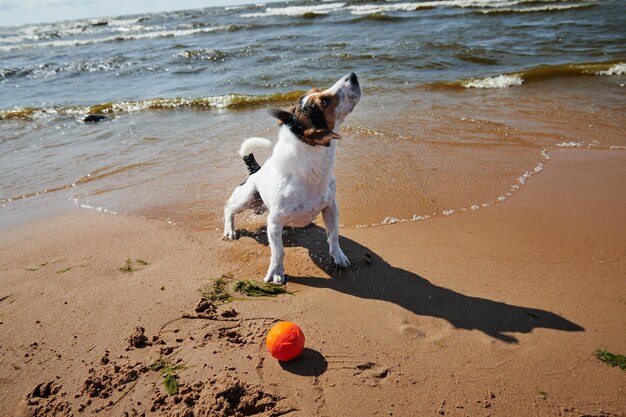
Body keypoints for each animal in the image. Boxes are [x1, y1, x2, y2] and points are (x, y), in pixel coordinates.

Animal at [223, 73, 360, 284]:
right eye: (324, 101)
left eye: (317, 90)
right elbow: (278, 251)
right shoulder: (274, 222)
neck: (313, 170)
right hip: (245, 198)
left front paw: (338, 256)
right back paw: (230, 230)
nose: (352, 75)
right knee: (228, 208)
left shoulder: (331, 207)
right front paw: (276, 272)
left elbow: (333, 235)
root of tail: (256, 170)